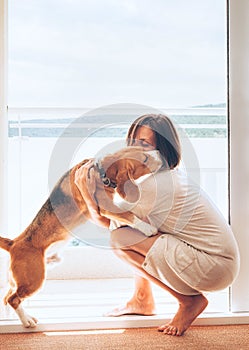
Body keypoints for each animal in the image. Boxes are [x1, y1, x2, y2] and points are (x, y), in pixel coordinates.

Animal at [0, 145, 161, 328]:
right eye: (145, 159)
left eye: (144, 147)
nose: (159, 152)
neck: (100, 170)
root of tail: (13, 242)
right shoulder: (105, 207)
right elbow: (128, 215)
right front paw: (147, 228)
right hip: (34, 279)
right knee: (13, 299)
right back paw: (26, 320)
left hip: (21, 279)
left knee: (7, 297)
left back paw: (12, 317)